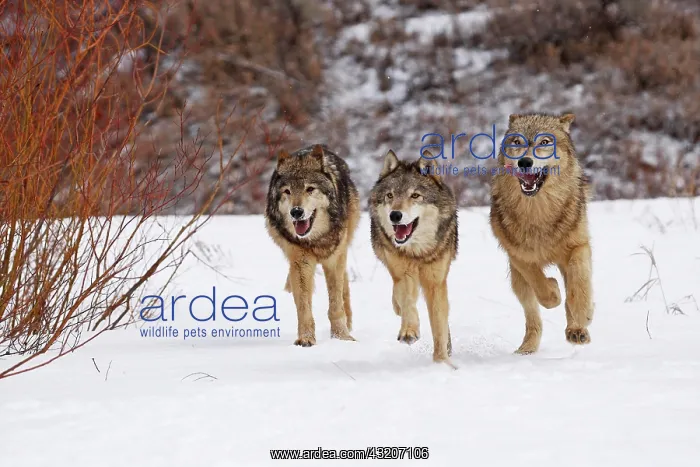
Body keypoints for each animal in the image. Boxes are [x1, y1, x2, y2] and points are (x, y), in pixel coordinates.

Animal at [265, 144, 360, 346]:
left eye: (309, 189)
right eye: (287, 191)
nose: (296, 212)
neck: (316, 239)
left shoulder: (334, 260)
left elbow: (335, 304)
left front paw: (341, 337)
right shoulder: (301, 262)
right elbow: (303, 306)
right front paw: (306, 338)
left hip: (342, 248)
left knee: (344, 286)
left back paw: (348, 325)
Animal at [369, 149, 458, 364]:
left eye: (415, 195)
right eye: (390, 195)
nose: (395, 215)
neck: (418, 252)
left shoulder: (436, 283)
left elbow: (439, 326)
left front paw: (442, 362)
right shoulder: (404, 274)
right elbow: (408, 302)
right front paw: (409, 331)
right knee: (400, 298)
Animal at [490, 113, 593, 354]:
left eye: (545, 142)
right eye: (517, 142)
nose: (525, 162)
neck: (539, 213)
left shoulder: (579, 245)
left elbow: (579, 286)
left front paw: (584, 316)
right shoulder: (518, 256)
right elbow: (542, 287)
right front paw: (553, 291)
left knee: (571, 292)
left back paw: (576, 330)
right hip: (517, 282)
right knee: (532, 315)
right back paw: (526, 348)